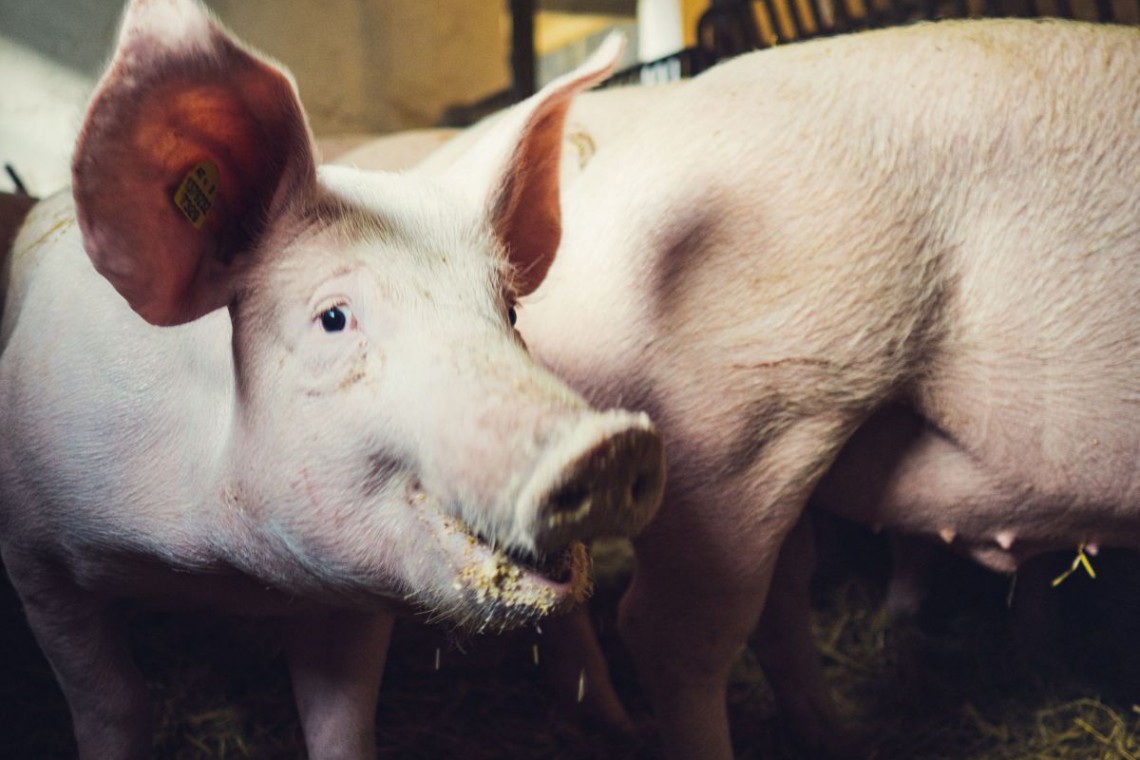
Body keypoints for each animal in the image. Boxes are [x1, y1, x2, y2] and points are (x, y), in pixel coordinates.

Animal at [0, 2, 665, 756]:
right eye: (333, 318)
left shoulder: (352, 595)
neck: (222, 568)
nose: (613, 444)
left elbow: (343, 724)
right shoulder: (32, 550)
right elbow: (114, 705)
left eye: (510, 312)